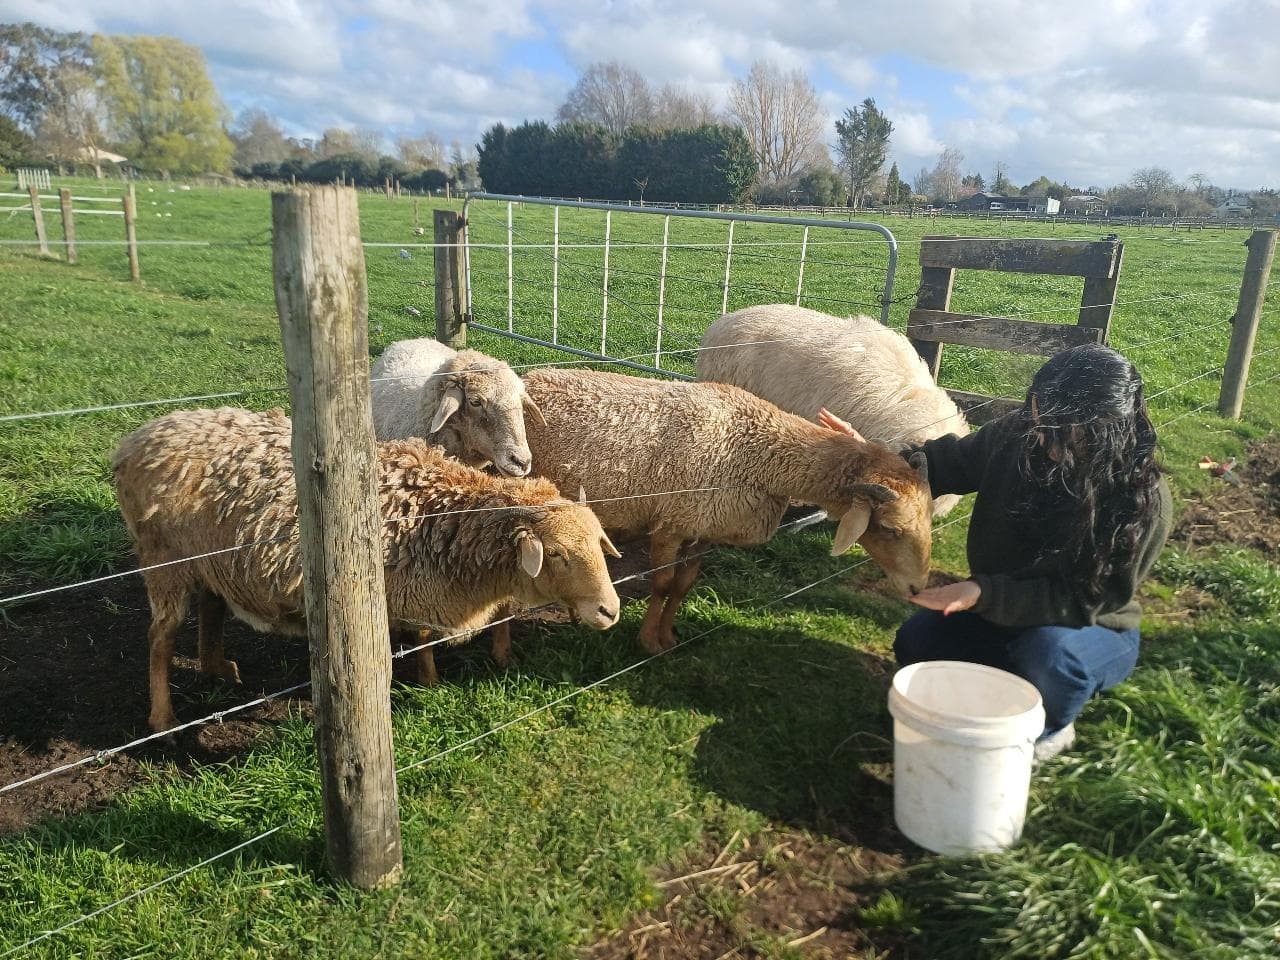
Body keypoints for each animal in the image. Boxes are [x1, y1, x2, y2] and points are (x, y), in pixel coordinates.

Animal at [112, 407, 621, 732]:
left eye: (598, 543)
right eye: (557, 554)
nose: (610, 611)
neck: (438, 513)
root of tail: (137, 439)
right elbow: (418, 640)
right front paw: (429, 684)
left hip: (210, 559)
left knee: (212, 606)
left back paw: (218, 668)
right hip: (163, 559)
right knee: (160, 636)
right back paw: (163, 719)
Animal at [517, 369, 934, 654]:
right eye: (891, 528)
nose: (918, 588)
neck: (759, 452)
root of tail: (528, 376)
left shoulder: (703, 528)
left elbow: (683, 585)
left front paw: (668, 637)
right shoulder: (670, 525)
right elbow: (663, 584)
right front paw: (648, 642)